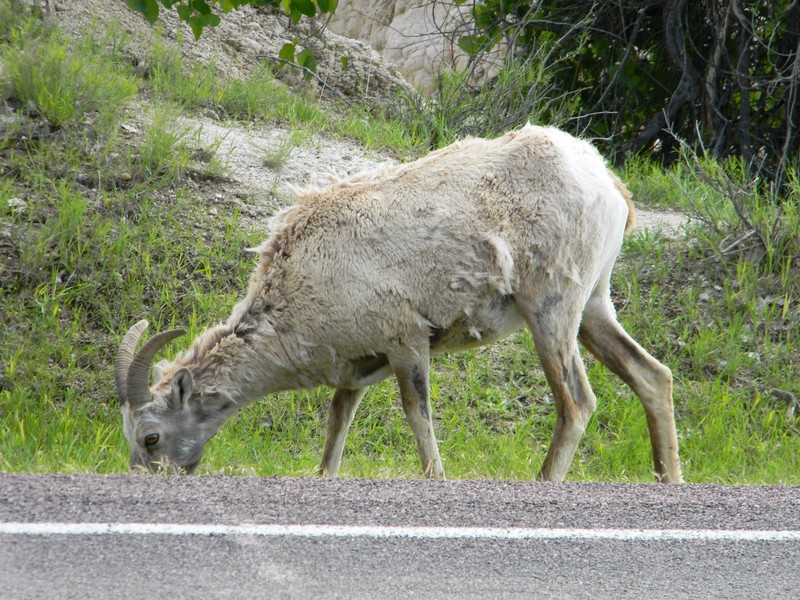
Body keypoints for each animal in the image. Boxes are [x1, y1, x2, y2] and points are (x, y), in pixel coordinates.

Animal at [115, 125, 684, 482]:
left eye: (150, 437)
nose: (146, 477)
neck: (297, 290)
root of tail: (608, 182)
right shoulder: (356, 370)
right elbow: (336, 429)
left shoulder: (407, 344)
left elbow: (419, 420)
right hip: (594, 309)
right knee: (652, 375)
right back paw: (669, 480)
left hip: (552, 311)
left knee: (577, 402)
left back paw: (544, 481)